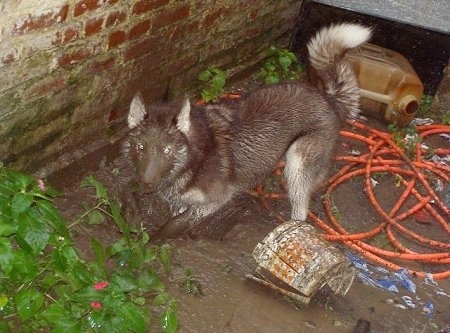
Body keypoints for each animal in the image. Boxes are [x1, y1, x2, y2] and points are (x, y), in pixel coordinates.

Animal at [124, 22, 372, 236]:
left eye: (167, 150)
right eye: (140, 147)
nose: (145, 183)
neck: (194, 159)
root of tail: (329, 99)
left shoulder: (218, 199)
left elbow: (175, 224)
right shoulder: (180, 201)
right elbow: (177, 214)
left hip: (297, 164)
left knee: (301, 213)